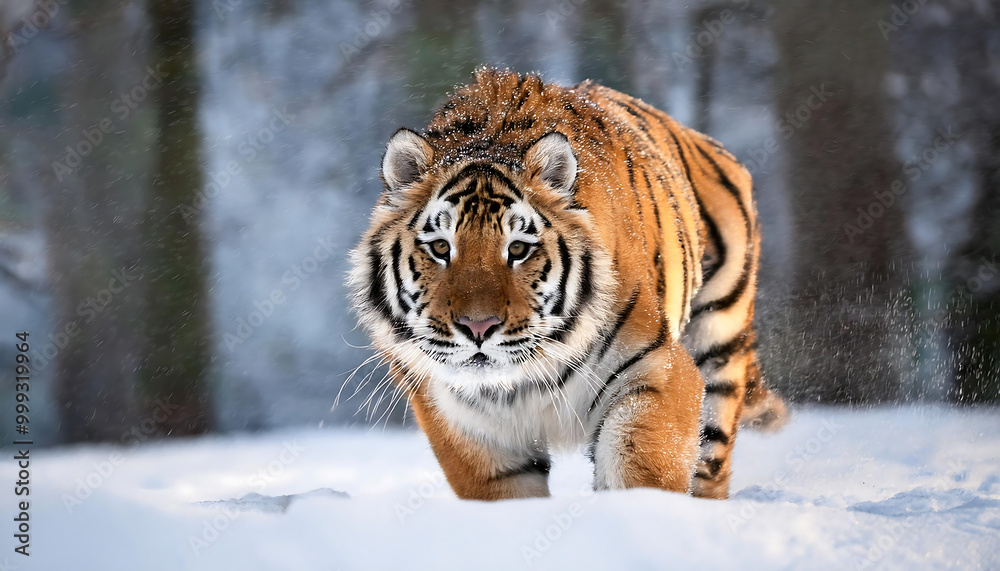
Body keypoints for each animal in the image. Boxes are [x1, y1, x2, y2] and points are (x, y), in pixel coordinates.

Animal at [348, 68, 786, 500]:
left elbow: (641, 469)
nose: (478, 327)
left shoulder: (656, 370)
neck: (520, 384)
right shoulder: (461, 419)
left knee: (710, 460)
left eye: (518, 249)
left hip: (721, 338)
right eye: (441, 247)